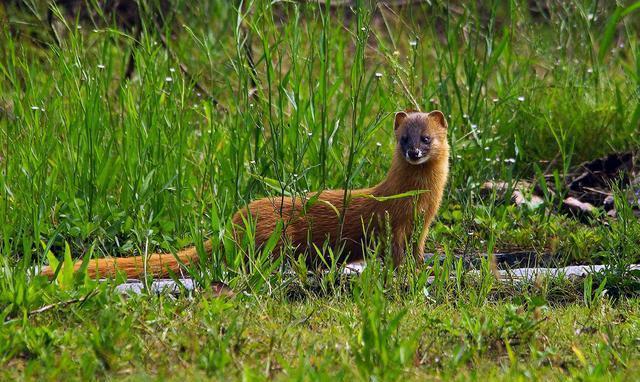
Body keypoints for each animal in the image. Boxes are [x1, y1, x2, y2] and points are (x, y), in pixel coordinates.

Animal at [41, 109, 450, 280]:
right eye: (403, 138)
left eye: (426, 137)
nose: (414, 152)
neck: (420, 199)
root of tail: (236, 221)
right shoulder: (395, 221)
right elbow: (395, 250)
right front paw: (405, 270)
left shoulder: (424, 224)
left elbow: (416, 249)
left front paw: (422, 265)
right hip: (274, 235)